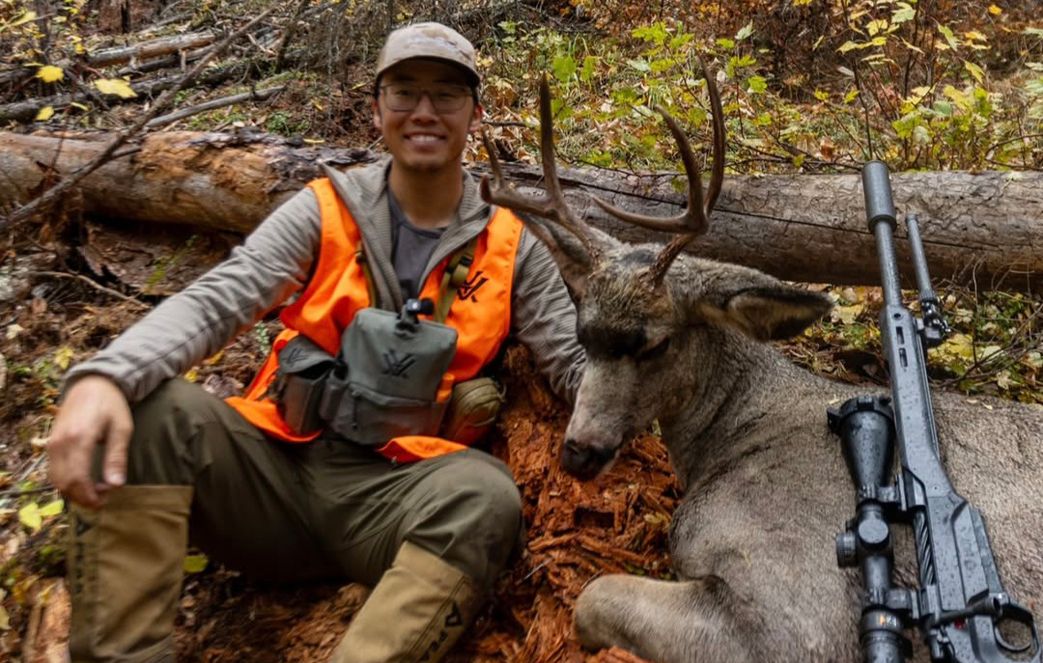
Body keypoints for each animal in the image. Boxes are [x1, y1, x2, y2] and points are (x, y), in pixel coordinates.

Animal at [479, 65, 1043, 663]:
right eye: (583, 335)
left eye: (656, 344)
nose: (579, 452)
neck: (733, 431)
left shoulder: (798, 613)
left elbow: (591, 596)